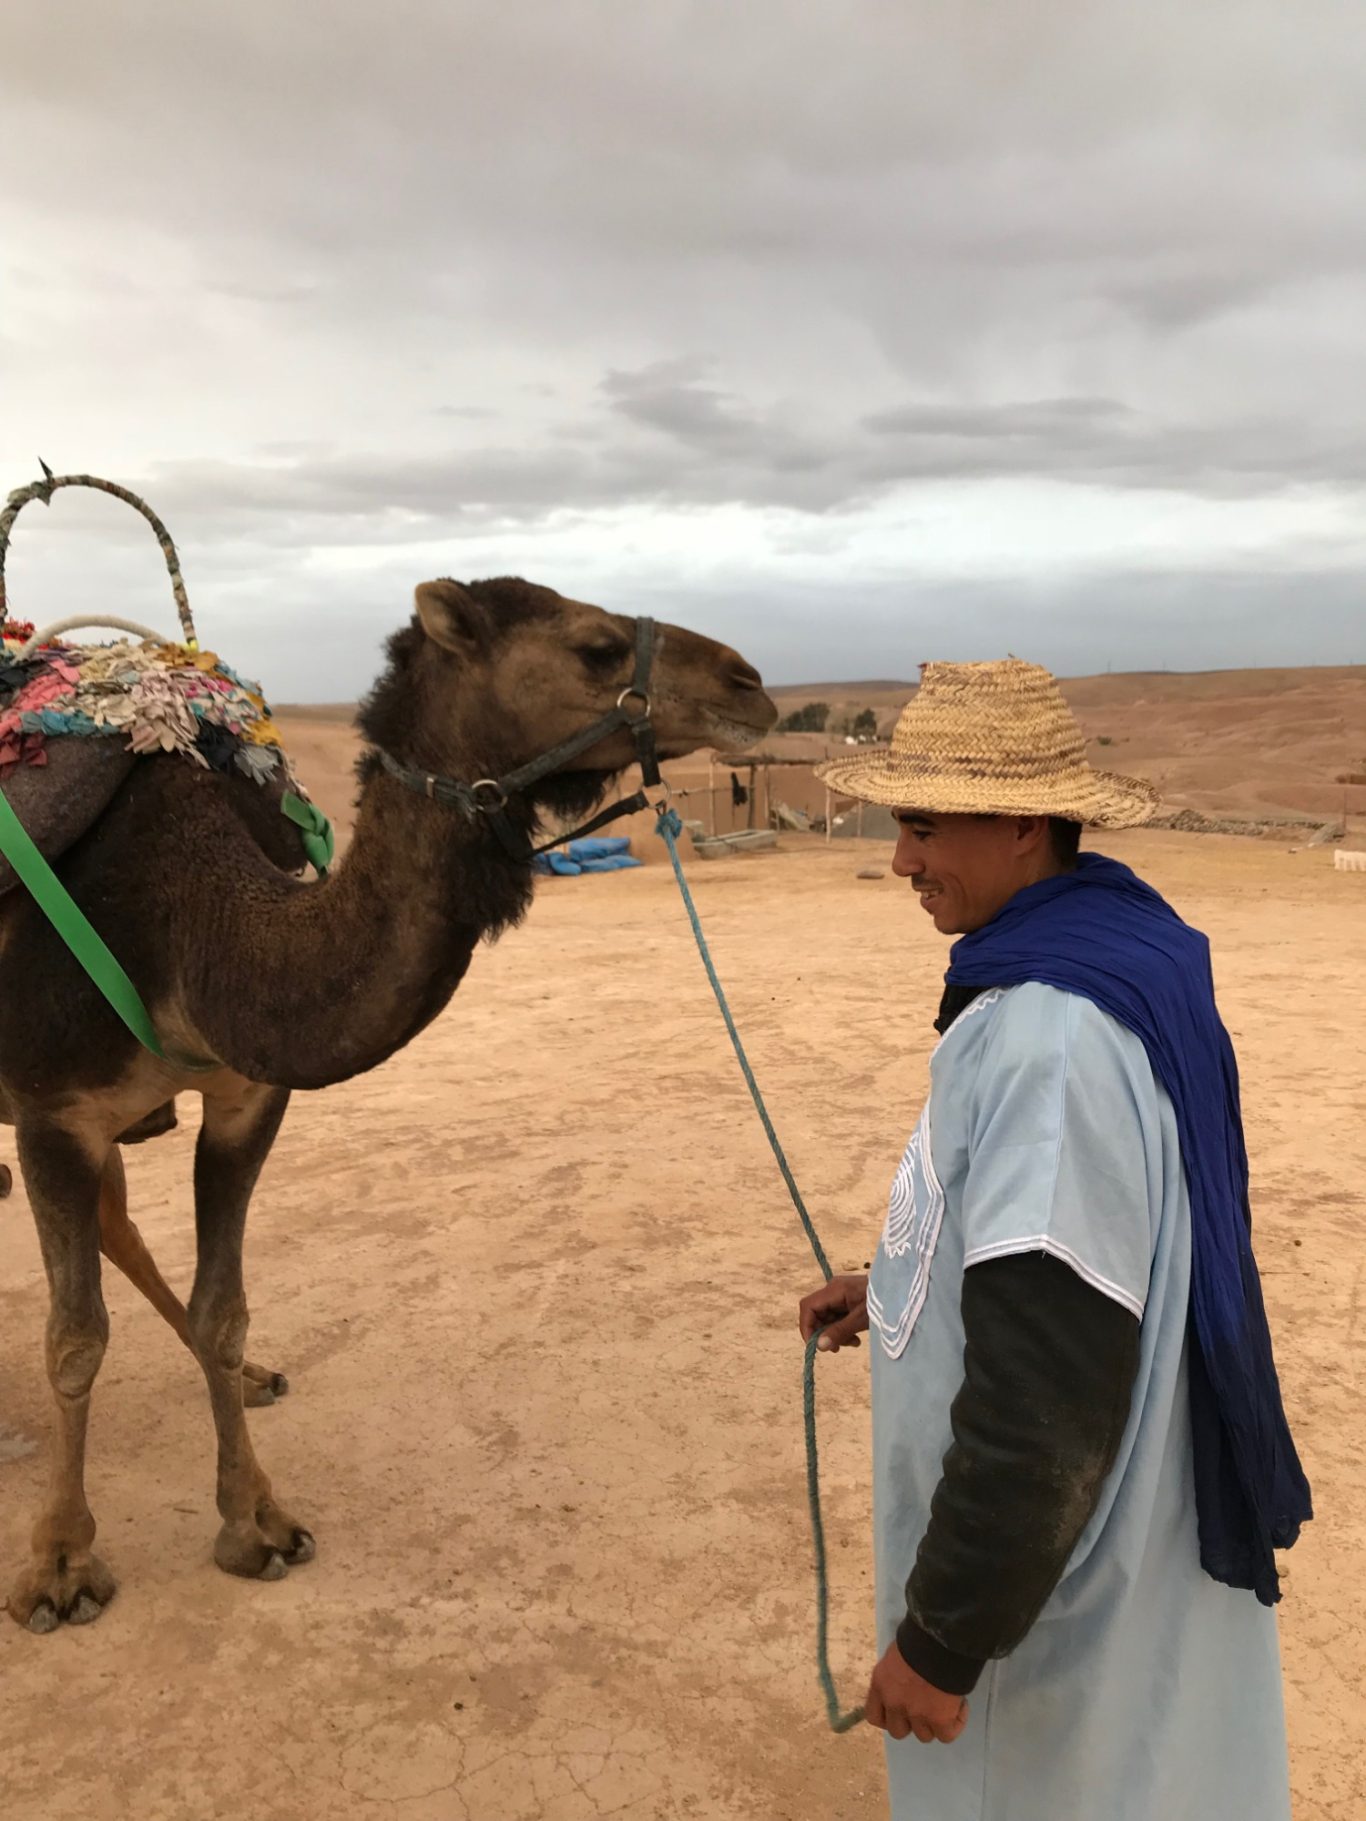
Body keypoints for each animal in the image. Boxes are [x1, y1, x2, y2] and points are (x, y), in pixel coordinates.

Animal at [1, 576, 775, 1632]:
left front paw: (256, 1519)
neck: (187, 923)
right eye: (596, 646)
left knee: (126, 1228)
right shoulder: (54, 1110)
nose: (752, 684)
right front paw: (60, 1565)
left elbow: (221, 1311)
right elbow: (75, 1340)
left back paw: (253, 1377)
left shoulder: (246, 1100)